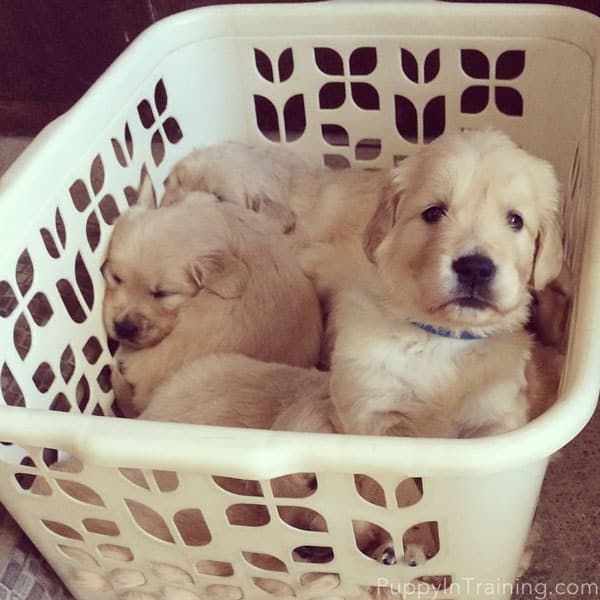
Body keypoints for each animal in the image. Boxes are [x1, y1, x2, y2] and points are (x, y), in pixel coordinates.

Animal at [326, 127, 564, 436]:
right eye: (433, 212)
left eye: (515, 220)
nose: (475, 268)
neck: (442, 338)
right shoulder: (372, 406)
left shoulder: (497, 413)